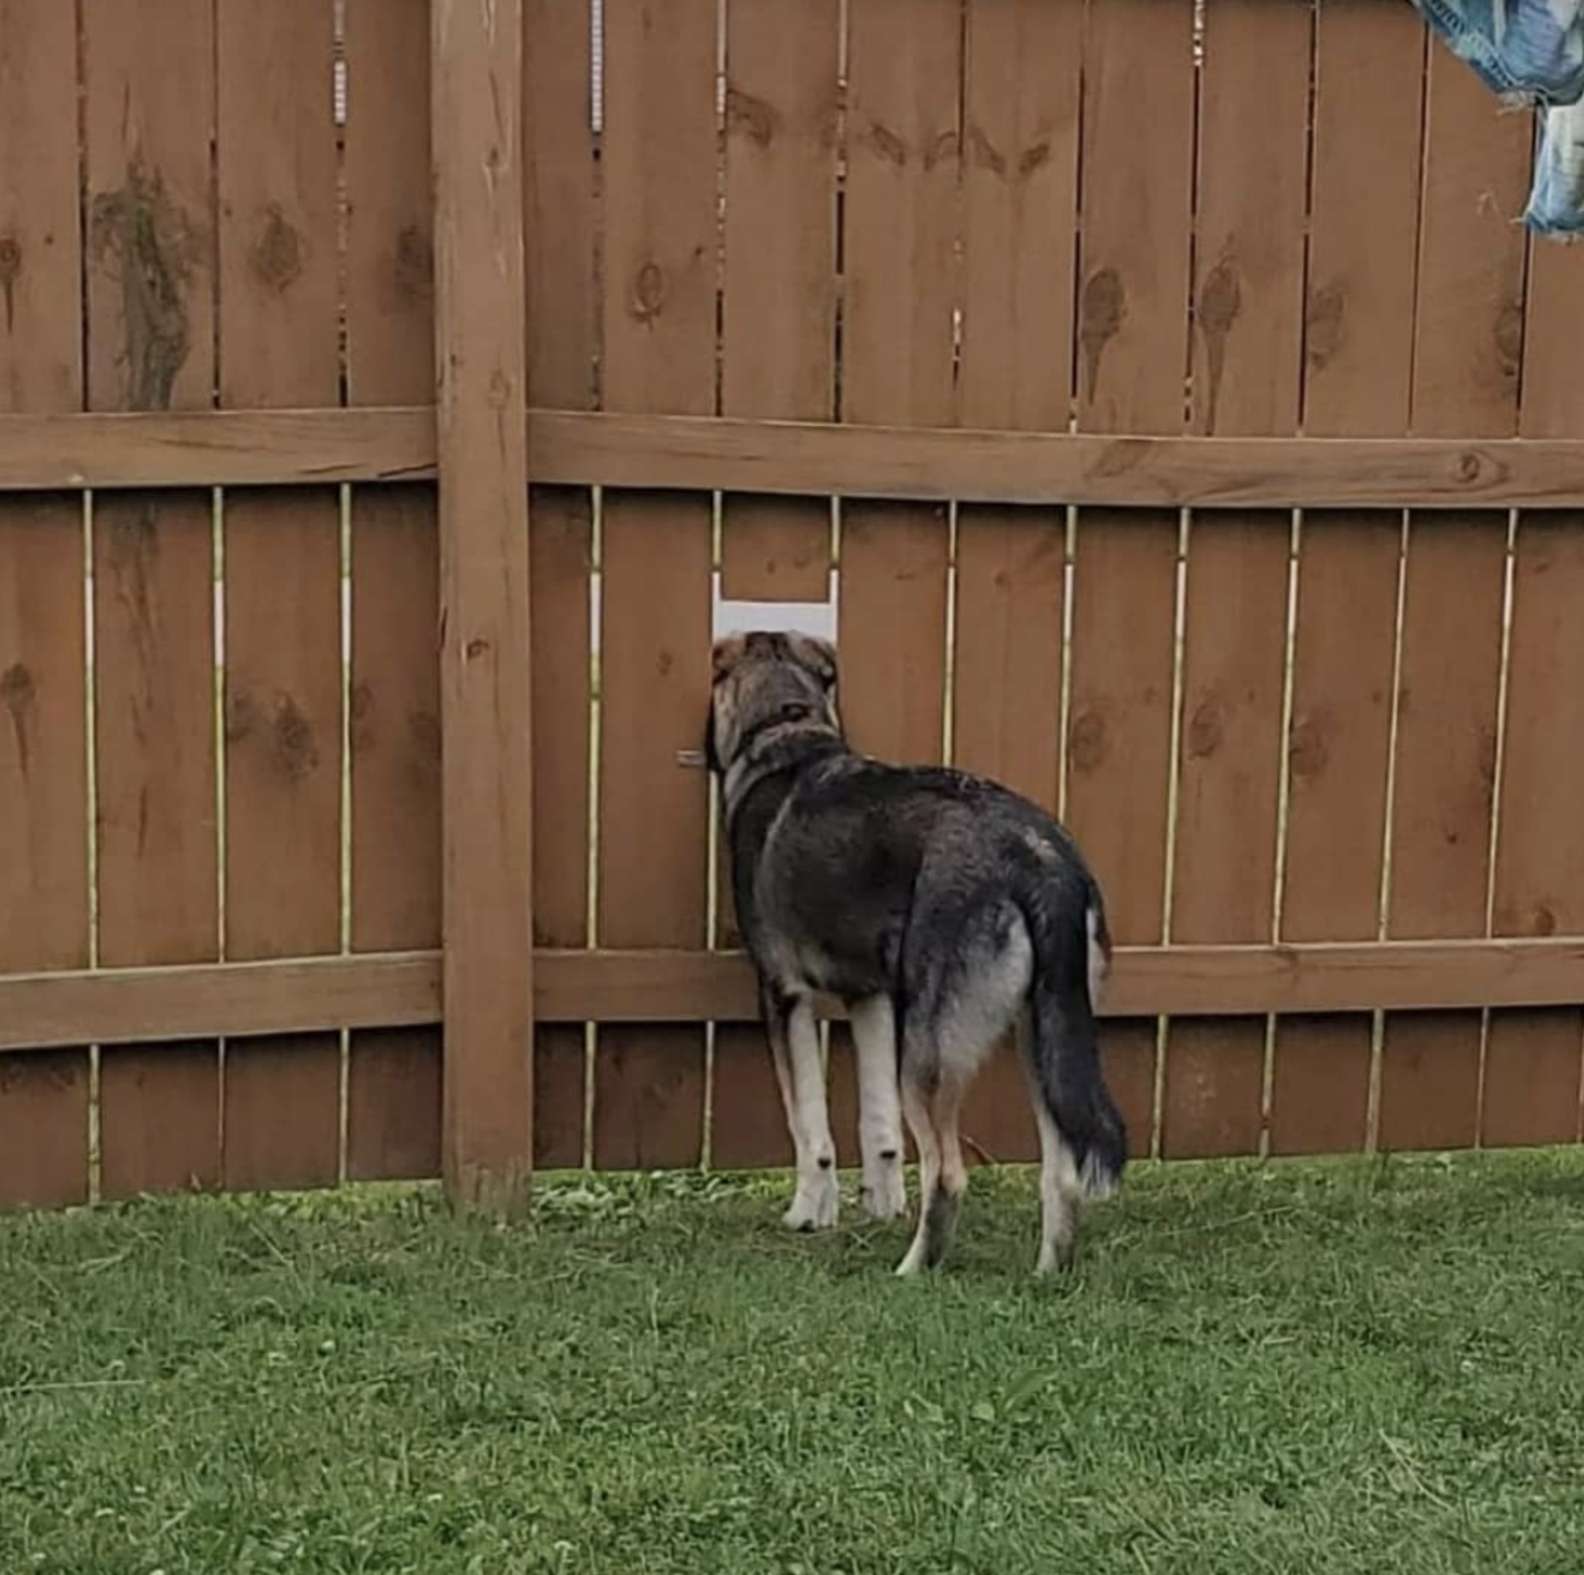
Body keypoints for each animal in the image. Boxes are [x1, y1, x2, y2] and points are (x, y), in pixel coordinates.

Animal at [706, 630, 1127, 1280]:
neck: (786, 727)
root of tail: (1039, 858)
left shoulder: (782, 995)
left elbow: (809, 1128)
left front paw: (808, 1213)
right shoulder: (872, 997)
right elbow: (878, 1127)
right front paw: (878, 1203)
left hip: (929, 1051)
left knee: (947, 1173)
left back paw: (911, 1271)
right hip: (1042, 1040)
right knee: (1061, 1173)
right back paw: (1045, 1274)